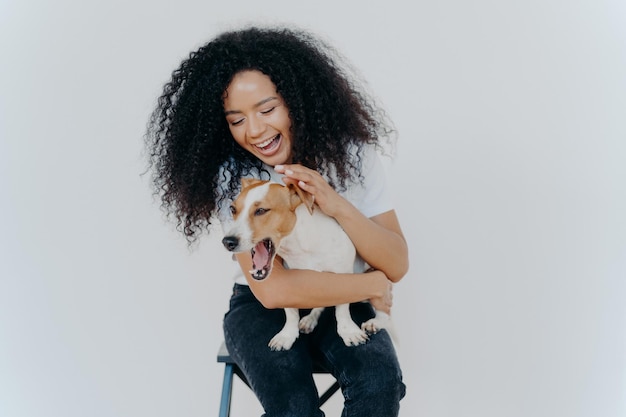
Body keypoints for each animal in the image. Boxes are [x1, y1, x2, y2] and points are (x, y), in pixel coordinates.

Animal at [219, 177, 386, 350]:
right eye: (232, 209)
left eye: (261, 211)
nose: (227, 242)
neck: (299, 246)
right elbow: (291, 312)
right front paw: (287, 335)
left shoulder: (344, 274)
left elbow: (342, 308)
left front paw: (348, 332)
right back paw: (310, 319)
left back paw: (377, 322)